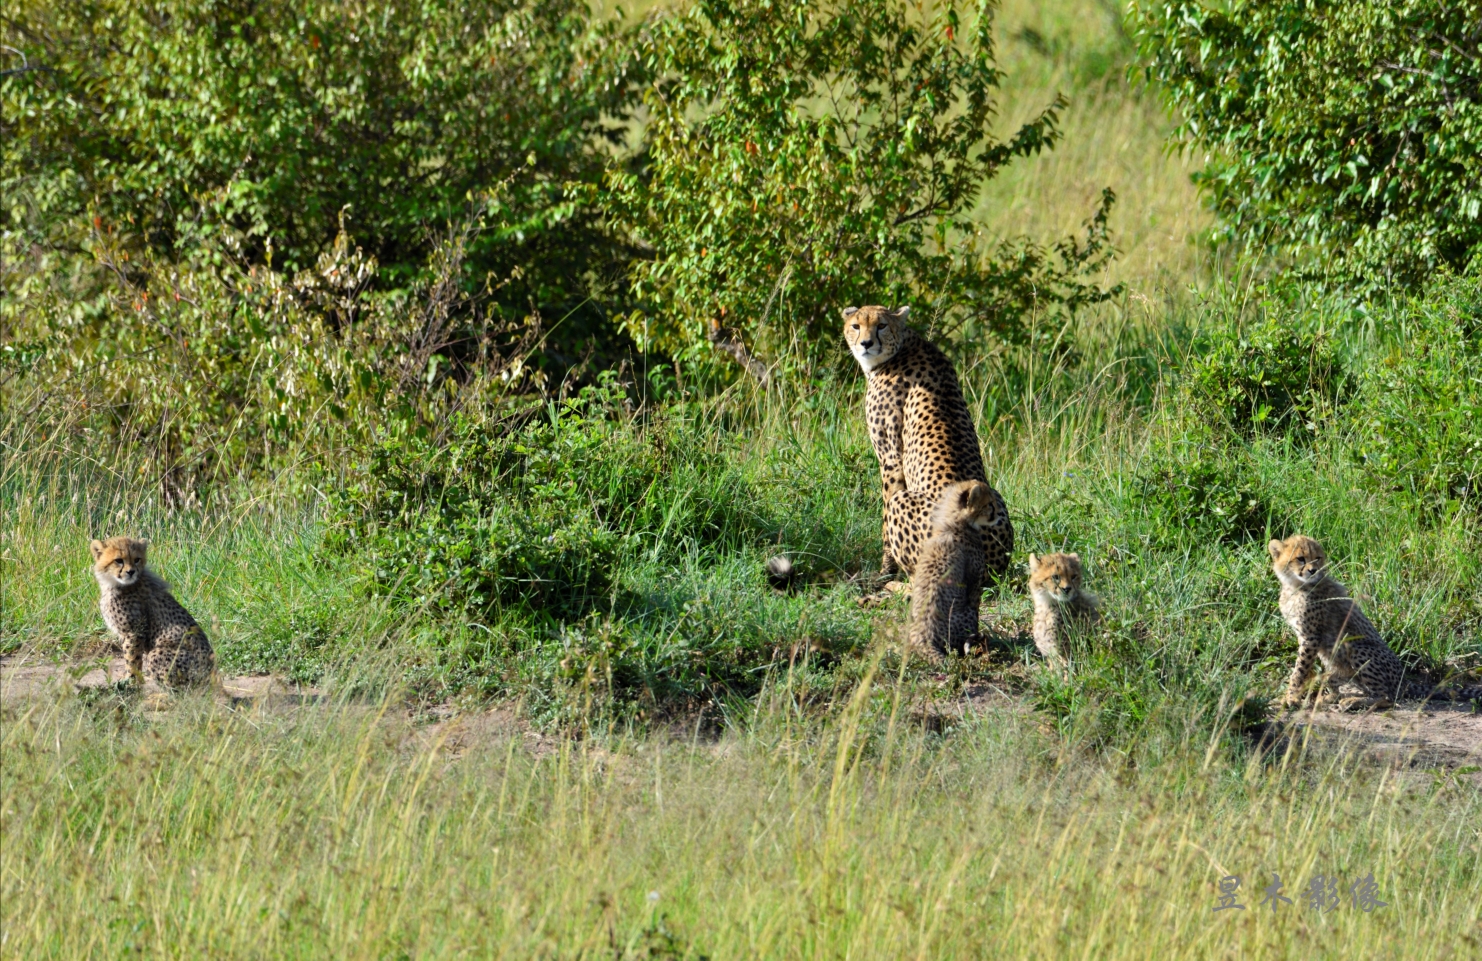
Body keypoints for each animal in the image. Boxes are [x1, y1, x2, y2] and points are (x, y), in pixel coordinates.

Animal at [841, 305, 1013, 578]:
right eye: (856, 326)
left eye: (881, 325)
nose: (866, 343)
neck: (902, 346)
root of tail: (992, 568)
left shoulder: (890, 458)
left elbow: (885, 517)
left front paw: (885, 570)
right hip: (995, 496)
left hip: (906, 504)